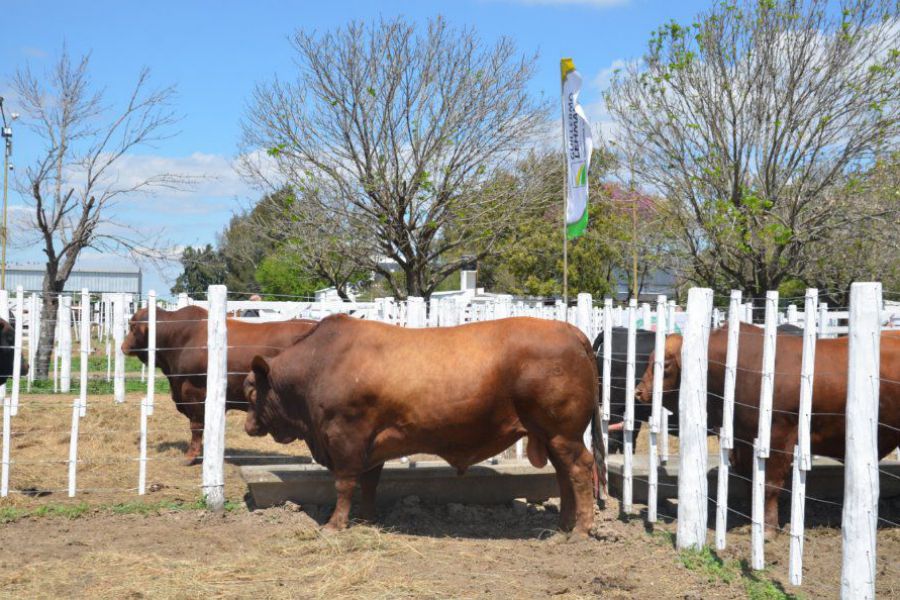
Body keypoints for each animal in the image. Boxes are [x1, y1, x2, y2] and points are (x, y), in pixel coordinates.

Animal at [244, 314, 604, 536]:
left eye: (250, 389)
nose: (248, 426)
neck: (320, 364)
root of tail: (572, 332)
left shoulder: (345, 437)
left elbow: (345, 483)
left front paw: (334, 525)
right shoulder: (371, 442)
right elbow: (370, 483)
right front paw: (366, 518)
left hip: (563, 433)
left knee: (580, 470)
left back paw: (581, 530)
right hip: (550, 434)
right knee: (563, 475)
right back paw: (562, 526)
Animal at [632, 324, 900, 536]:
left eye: (665, 364)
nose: (639, 392)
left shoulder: (778, 436)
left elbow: (770, 484)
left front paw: (769, 528)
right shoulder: (744, 440)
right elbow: (751, 481)